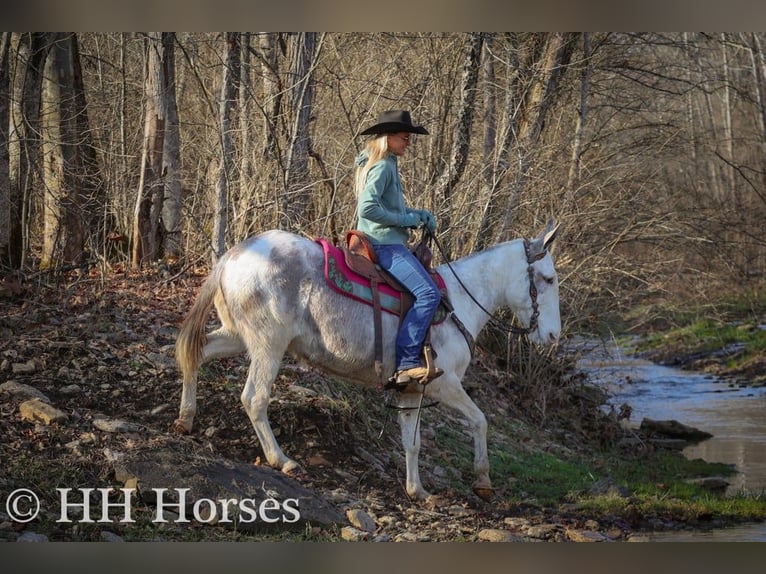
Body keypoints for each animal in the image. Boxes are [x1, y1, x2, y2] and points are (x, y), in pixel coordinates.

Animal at [173, 219, 561, 501]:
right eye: (548, 278)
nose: (554, 337)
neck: (457, 304)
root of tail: (235, 254)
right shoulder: (445, 384)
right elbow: (480, 421)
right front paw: (482, 481)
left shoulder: (411, 392)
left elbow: (412, 442)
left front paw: (417, 490)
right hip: (269, 345)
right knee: (254, 398)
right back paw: (280, 460)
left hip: (237, 336)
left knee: (196, 356)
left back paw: (186, 419)